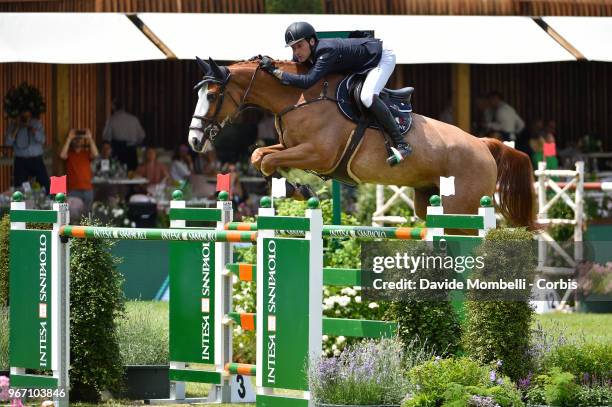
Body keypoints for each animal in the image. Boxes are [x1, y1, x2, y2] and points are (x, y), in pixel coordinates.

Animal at [188, 57, 536, 230]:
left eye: (213, 95)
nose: (194, 140)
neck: (299, 98)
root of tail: (483, 144)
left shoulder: (318, 155)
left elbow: (268, 160)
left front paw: (301, 191)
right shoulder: (291, 148)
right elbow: (260, 156)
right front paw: (297, 189)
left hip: (461, 208)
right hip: (428, 201)